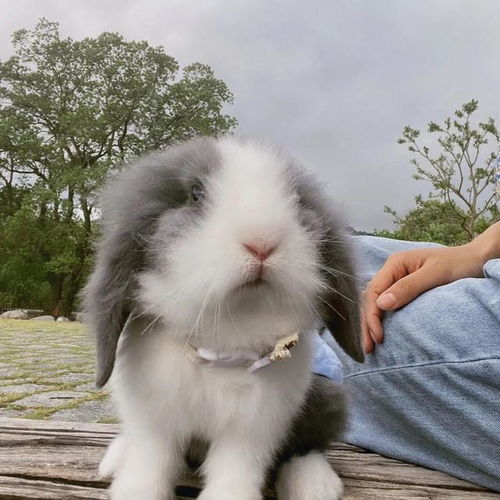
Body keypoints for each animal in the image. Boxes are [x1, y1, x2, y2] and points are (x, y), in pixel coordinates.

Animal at [83, 134, 364, 500]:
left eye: (297, 200)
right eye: (196, 194)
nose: (262, 243)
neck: (224, 342)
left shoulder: (252, 428)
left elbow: (236, 470)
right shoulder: (154, 420)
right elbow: (150, 463)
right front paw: (134, 490)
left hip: (325, 396)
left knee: (308, 445)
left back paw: (315, 484)